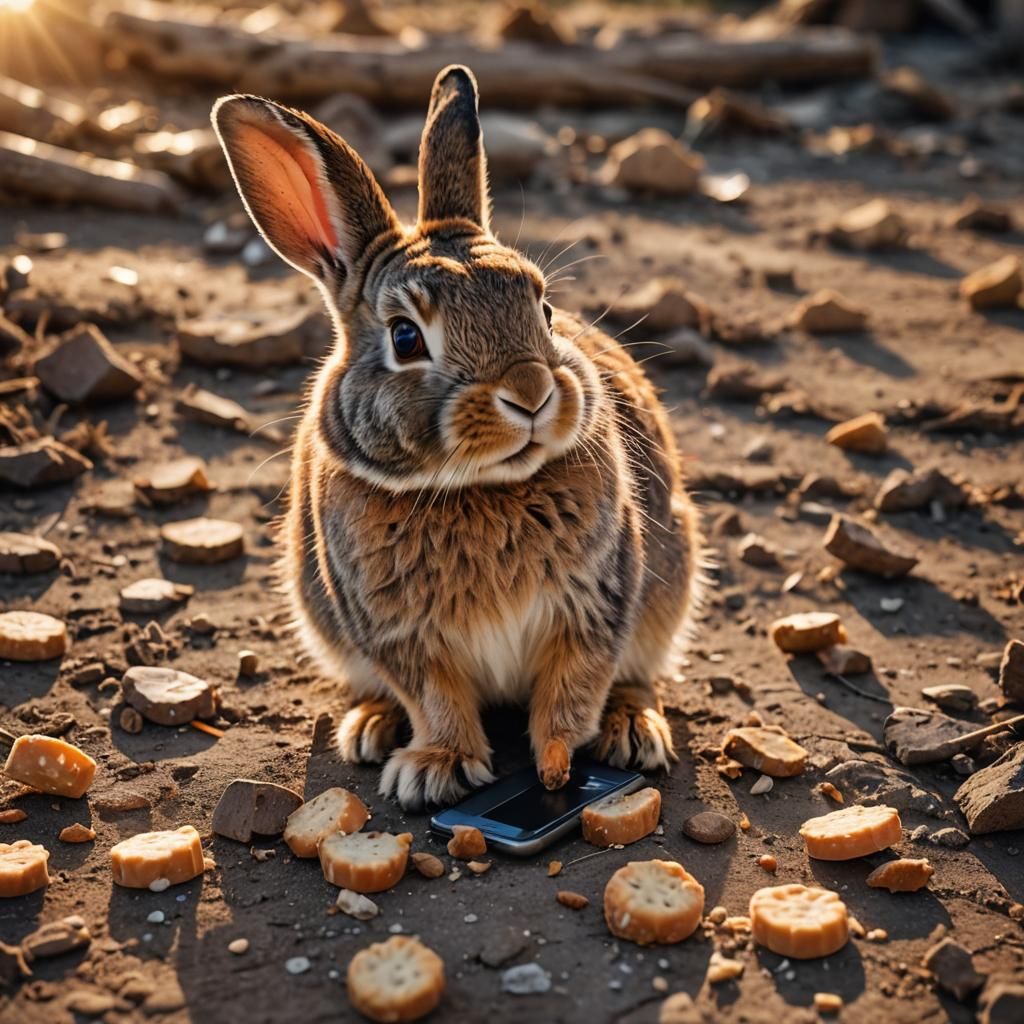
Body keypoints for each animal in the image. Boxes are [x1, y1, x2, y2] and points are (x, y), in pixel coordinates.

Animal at [212, 65, 705, 810]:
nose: (531, 393)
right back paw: (371, 726)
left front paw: (556, 765)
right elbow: (435, 697)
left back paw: (632, 729)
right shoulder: (400, 634)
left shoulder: (597, 604)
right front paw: (435, 769)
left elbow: (573, 689)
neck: (483, 486)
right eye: (405, 337)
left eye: (544, 309)